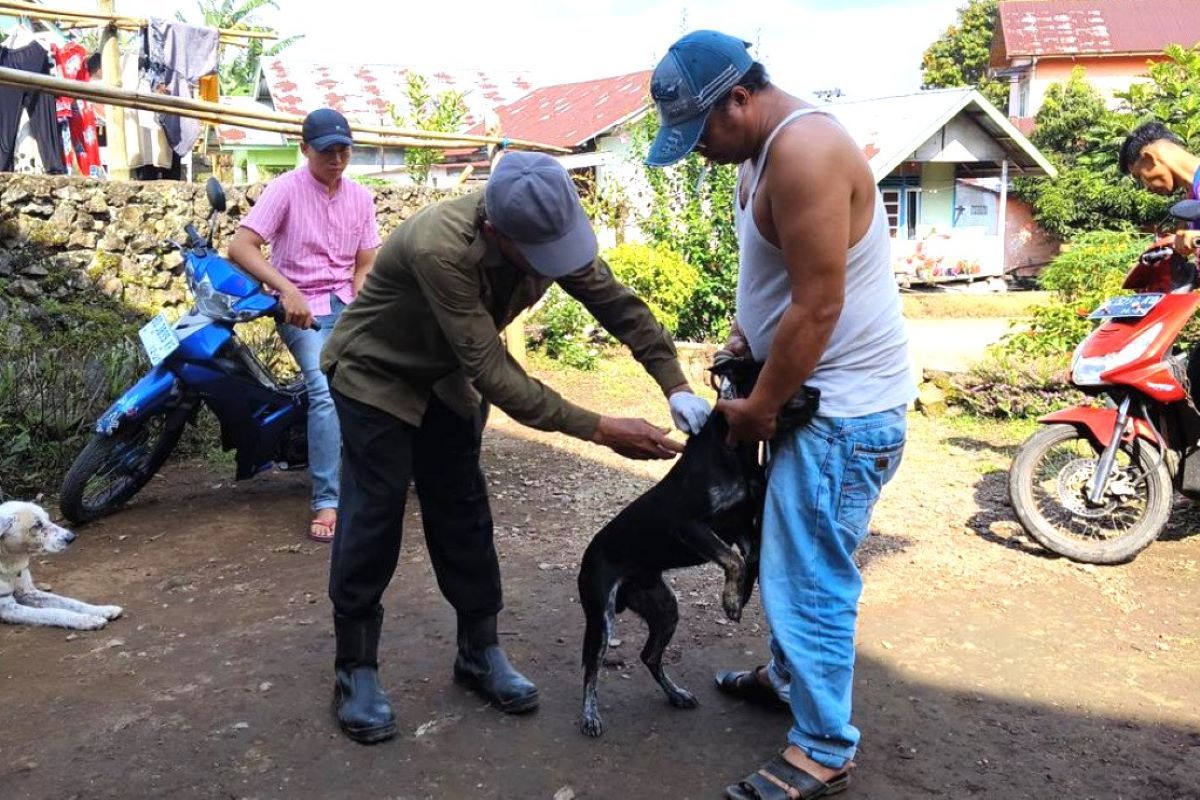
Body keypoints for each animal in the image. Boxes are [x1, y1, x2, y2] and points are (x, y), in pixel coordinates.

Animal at [0, 501, 123, 633]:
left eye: (48, 518)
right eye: (37, 525)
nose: (72, 537)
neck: (9, 565)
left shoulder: (28, 593)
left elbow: (70, 601)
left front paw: (103, 609)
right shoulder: (6, 606)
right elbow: (52, 611)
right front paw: (86, 619)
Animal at [573, 357, 816, 738]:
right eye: (776, 375)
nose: (818, 394)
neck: (735, 451)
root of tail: (589, 553)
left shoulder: (740, 525)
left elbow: (750, 559)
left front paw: (740, 596)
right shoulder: (690, 525)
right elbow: (732, 560)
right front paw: (731, 601)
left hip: (665, 608)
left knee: (649, 656)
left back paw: (676, 694)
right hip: (601, 617)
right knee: (591, 668)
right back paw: (590, 717)